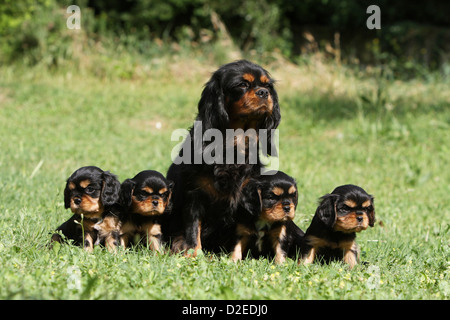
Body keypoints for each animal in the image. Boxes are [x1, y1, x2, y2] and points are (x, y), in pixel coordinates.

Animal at [167, 59, 280, 255]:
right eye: (242, 84)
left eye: (267, 86)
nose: (264, 92)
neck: (234, 142)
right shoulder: (194, 195)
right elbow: (193, 228)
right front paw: (194, 254)